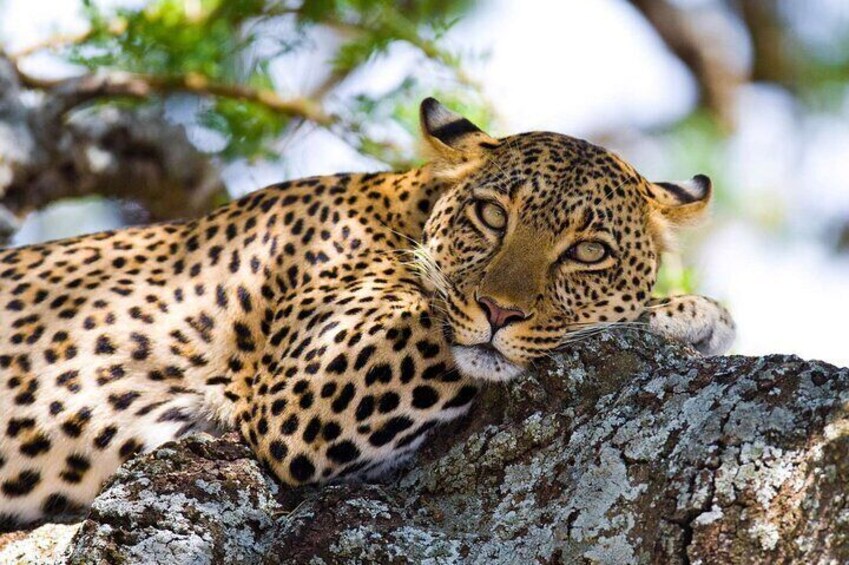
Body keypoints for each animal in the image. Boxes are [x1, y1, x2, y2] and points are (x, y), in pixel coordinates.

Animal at [0, 99, 732, 528]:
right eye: (492, 215)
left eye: (587, 251)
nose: (498, 309)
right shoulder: (307, 390)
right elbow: (453, 330)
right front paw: (688, 310)